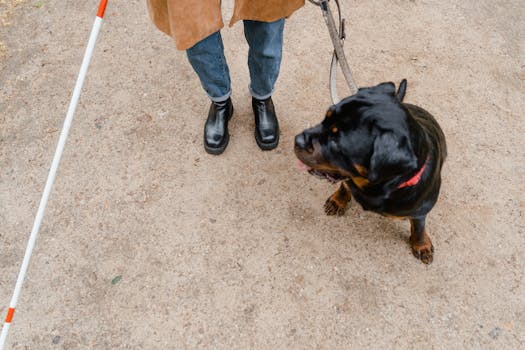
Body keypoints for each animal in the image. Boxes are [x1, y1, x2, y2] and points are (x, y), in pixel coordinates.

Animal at [294, 80, 446, 264]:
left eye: (336, 141)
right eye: (325, 118)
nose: (297, 140)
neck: (374, 187)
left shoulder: (421, 210)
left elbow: (419, 227)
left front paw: (421, 244)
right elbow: (345, 185)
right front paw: (338, 200)